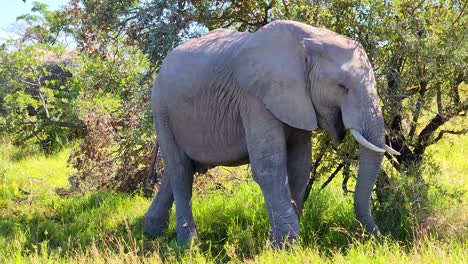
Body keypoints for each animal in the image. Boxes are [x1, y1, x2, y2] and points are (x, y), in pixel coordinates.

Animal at [144, 19, 400, 246]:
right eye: (342, 87)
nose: (382, 240)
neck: (308, 42)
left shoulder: (298, 101)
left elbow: (300, 167)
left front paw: (276, 242)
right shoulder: (254, 98)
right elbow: (270, 167)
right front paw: (286, 246)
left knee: (178, 170)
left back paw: (150, 231)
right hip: (161, 109)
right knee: (180, 171)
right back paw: (188, 245)